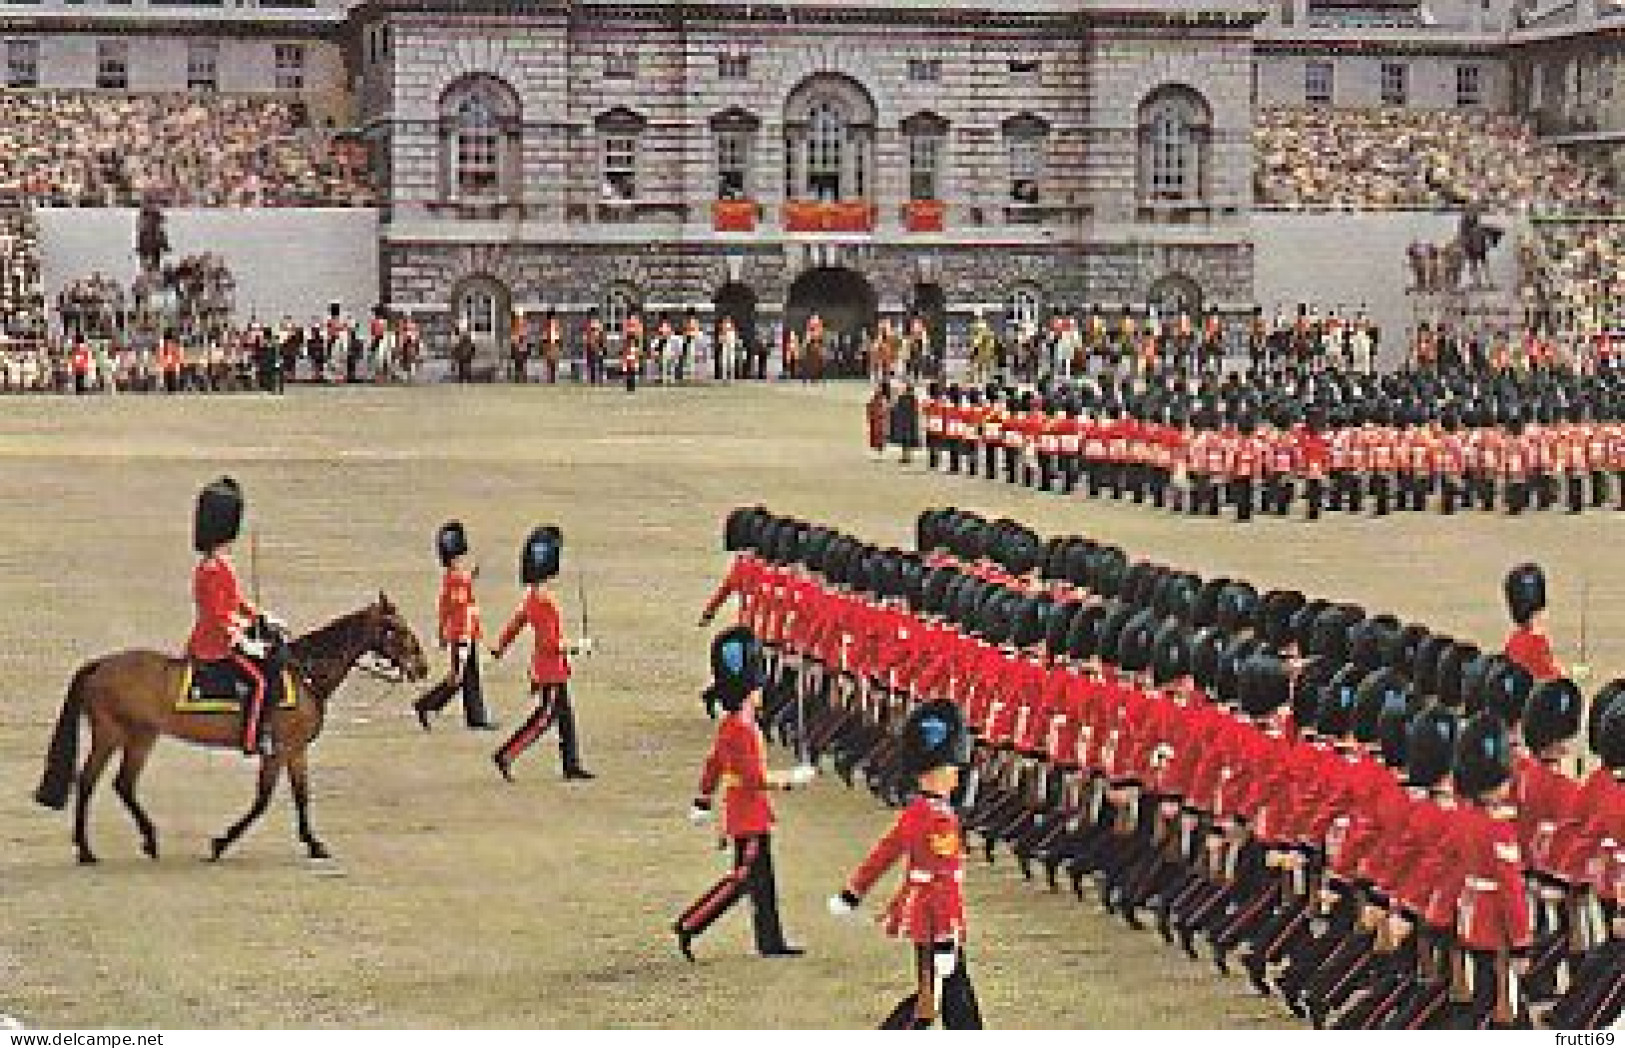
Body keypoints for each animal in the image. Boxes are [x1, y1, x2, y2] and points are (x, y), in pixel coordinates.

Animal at [34, 591, 429, 864]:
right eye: (396, 628)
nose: (421, 667)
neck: (304, 673)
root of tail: (100, 664)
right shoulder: (280, 750)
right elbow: (263, 800)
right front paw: (221, 843)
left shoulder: (293, 751)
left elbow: (299, 796)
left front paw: (313, 843)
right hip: (112, 734)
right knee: (88, 782)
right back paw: (87, 850)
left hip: (141, 736)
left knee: (122, 784)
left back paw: (148, 840)